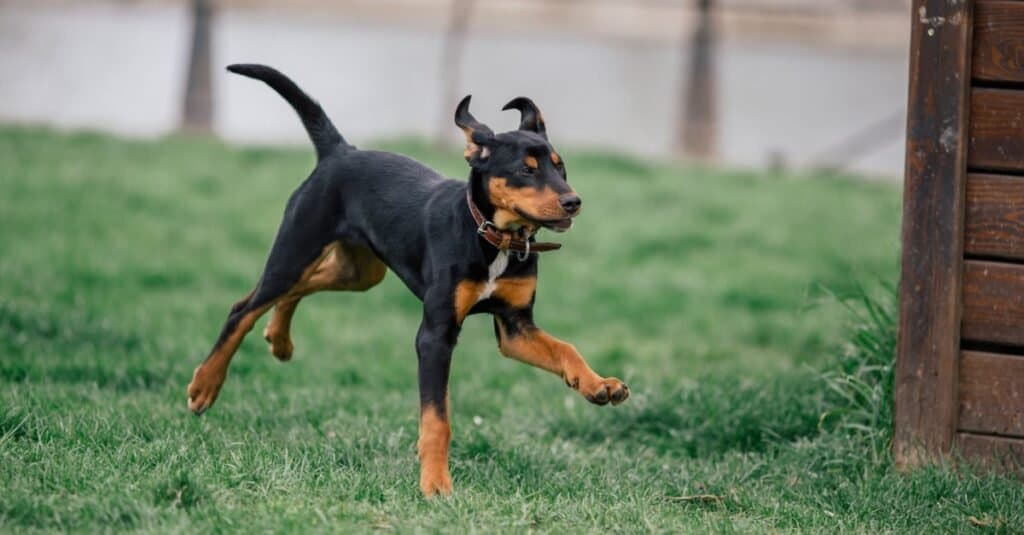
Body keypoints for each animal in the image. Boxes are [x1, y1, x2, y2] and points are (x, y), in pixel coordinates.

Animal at [187, 64, 626, 494]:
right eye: (525, 170)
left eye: (560, 165)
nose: (573, 202)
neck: (491, 236)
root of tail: (339, 151)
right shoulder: (435, 335)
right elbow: (437, 419)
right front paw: (435, 484)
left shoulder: (515, 328)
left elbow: (566, 348)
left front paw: (599, 385)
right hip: (296, 248)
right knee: (244, 307)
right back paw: (204, 386)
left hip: (358, 272)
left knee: (297, 289)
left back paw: (279, 339)